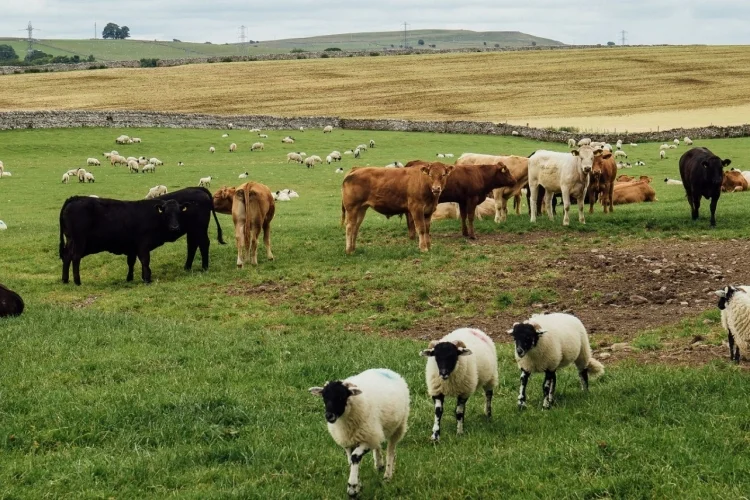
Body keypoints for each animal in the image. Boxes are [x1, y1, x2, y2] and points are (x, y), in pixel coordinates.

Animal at [60, 187, 225, 284]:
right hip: (77, 241)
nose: (175, 227)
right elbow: (142, 261)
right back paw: (75, 281)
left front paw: (138, 278)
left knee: (200, 245)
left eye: (179, 213)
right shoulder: (141, 245)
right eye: (166, 214)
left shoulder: (136, 246)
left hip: (198, 229)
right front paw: (144, 278)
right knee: (73, 257)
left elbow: (135, 262)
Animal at [308, 368, 408, 500]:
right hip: (375, 430)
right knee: (378, 444)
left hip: (398, 427)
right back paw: (379, 465)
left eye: (342, 397)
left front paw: (352, 488)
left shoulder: (366, 440)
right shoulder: (349, 442)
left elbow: (355, 457)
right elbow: (351, 461)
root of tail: (386, 370)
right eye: (324, 397)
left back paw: (387, 476)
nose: (329, 416)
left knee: (391, 451)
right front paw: (358, 485)